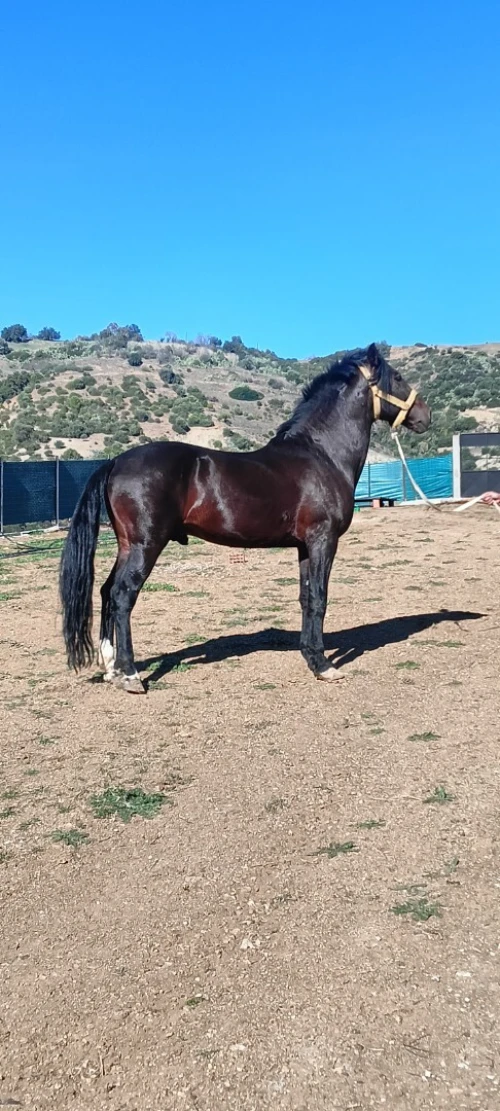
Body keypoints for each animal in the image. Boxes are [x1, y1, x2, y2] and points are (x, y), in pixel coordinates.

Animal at [59, 343, 431, 692]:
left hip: (127, 545)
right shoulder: (323, 540)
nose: (425, 416)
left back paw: (111, 668)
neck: (321, 454)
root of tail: (115, 461)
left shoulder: (304, 547)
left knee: (106, 591)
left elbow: (306, 598)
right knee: (123, 595)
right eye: (398, 377)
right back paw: (130, 674)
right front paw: (325, 666)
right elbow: (320, 598)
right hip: (144, 545)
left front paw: (311, 656)